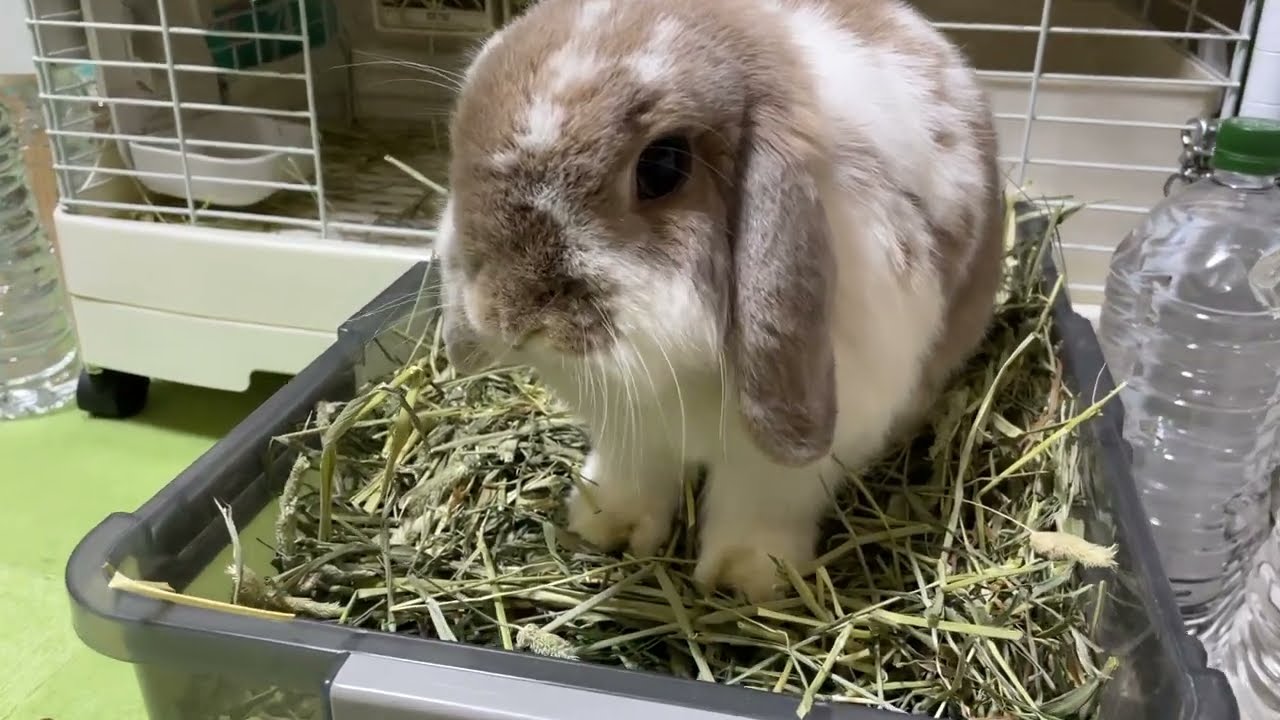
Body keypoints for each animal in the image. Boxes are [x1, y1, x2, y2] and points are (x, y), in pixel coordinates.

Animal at [434, 0, 1006, 602]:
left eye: (663, 166)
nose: (508, 314)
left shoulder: (786, 464)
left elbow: (759, 508)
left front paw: (743, 578)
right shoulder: (630, 433)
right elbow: (634, 476)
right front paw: (606, 527)